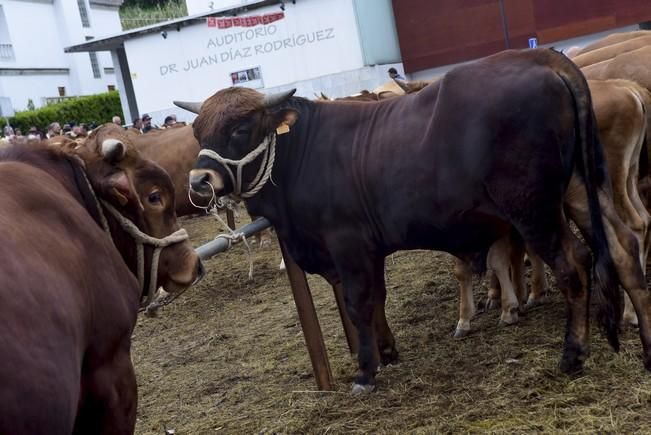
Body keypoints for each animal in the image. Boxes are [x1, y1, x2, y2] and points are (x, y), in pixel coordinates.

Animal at [180, 49, 628, 394]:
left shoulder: (347, 246)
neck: (301, 156)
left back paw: (574, 352)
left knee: (574, 263)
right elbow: (377, 299)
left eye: (240, 128)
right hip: (579, 193)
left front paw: (365, 371)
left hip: (534, 208)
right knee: (618, 246)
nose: (199, 180)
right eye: (198, 129)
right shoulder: (365, 250)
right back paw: (624, 319)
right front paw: (388, 352)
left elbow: (358, 303)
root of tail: (540, 57)